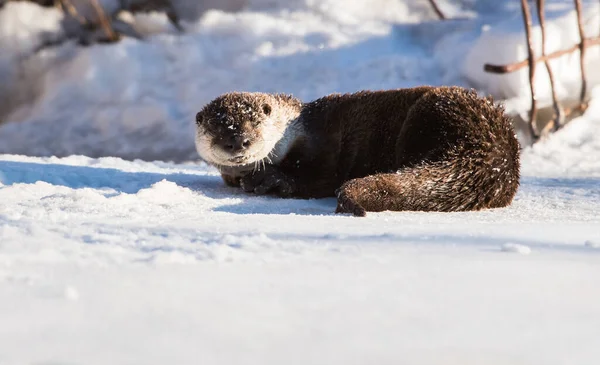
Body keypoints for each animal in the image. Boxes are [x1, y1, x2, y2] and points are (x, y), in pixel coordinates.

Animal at [193, 86, 520, 216]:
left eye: (254, 122)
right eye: (217, 127)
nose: (238, 141)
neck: (294, 129)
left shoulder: (323, 143)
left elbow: (319, 177)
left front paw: (271, 179)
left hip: (433, 112)